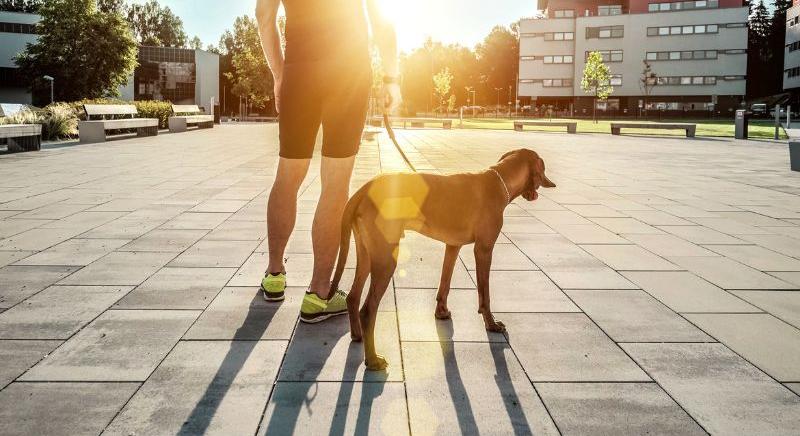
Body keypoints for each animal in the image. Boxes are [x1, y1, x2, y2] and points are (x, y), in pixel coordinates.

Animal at [332, 148, 556, 370]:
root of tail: (363, 190)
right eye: (543, 168)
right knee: (368, 310)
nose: (551, 184)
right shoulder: (484, 249)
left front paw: (441, 312)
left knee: (353, 296)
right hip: (386, 259)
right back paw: (372, 359)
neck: (499, 180)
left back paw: (358, 336)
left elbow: (445, 281)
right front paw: (491, 324)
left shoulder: (452, 246)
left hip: (367, 254)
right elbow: (485, 294)